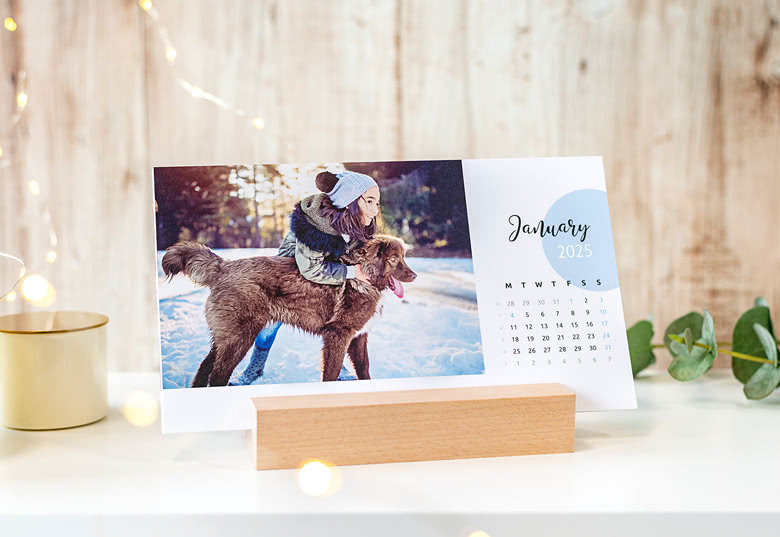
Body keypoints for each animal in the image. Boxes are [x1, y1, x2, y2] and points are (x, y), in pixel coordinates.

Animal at [161, 234, 418, 386]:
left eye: (403, 258)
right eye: (394, 260)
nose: (414, 275)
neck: (364, 279)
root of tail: (225, 266)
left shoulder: (358, 337)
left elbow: (364, 371)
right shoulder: (338, 336)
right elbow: (331, 374)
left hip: (225, 338)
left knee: (204, 368)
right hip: (239, 337)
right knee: (217, 375)